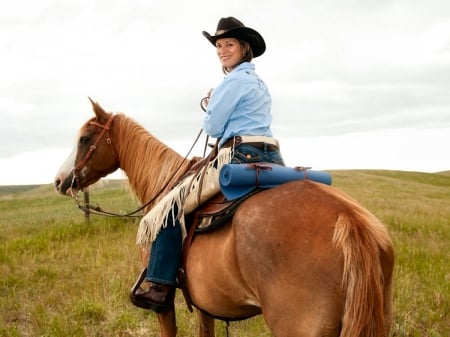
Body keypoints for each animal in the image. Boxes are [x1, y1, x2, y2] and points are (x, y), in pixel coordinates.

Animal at [55, 99, 394, 336]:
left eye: (85, 138)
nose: (59, 180)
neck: (164, 185)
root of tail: (349, 219)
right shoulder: (206, 301)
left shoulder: (163, 306)